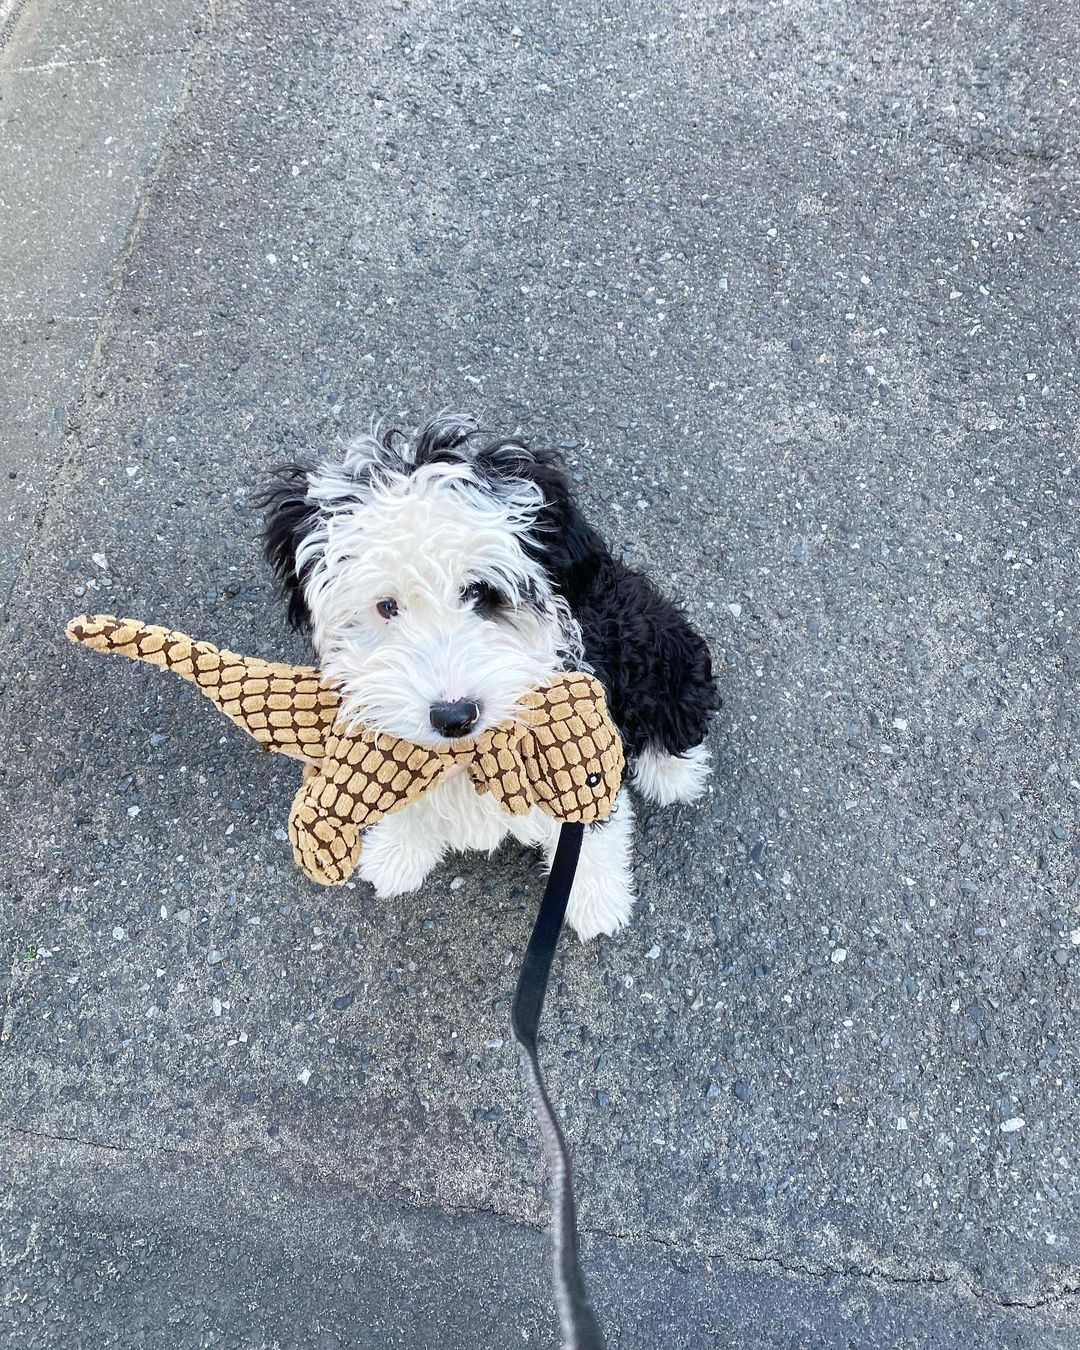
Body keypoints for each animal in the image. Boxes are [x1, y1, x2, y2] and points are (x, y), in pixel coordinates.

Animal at [257, 413, 718, 939]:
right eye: (387, 606)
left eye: (481, 592)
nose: (455, 716)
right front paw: (398, 851)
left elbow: (591, 830)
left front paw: (595, 899)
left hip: (663, 644)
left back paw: (674, 772)